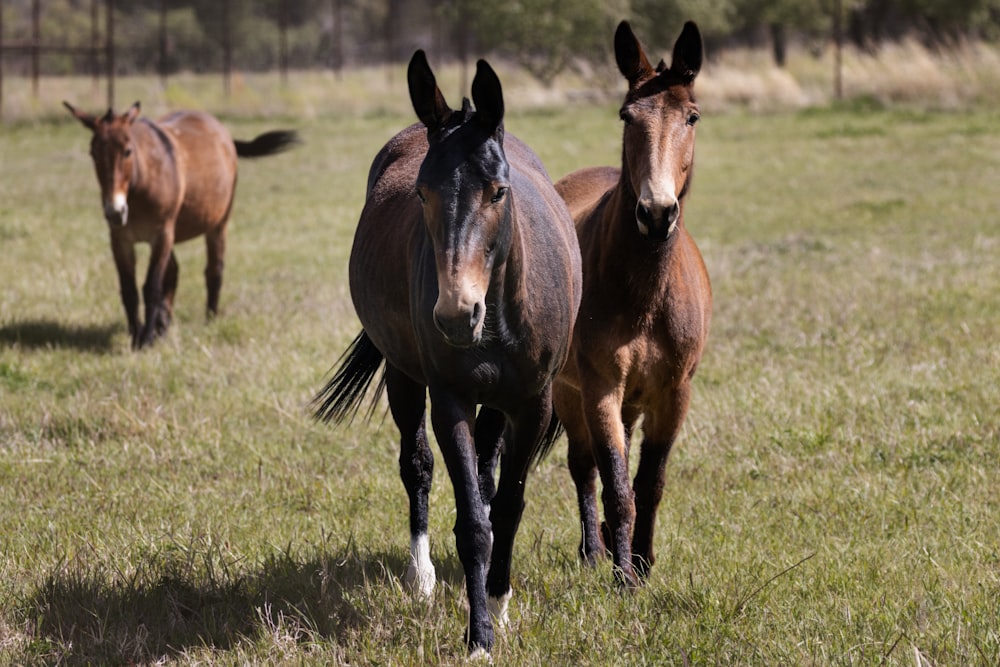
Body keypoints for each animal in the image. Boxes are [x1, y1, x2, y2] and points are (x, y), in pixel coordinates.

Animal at [62, 101, 294, 350]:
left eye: (127, 151)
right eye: (93, 153)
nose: (115, 211)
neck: (139, 185)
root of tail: (221, 130)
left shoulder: (161, 235)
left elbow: (152, 287)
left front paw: (146, 340)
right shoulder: (120, 240)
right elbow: (129, 290)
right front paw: (138, 335)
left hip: (218, 225)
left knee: (214, 270)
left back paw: (210, 320)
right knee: (173, 272)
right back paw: (163, 325)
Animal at [316, 53, 584, 656]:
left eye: (499, 191)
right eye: (421, 193)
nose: (458, 315)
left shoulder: (532, 404)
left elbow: (506, 505)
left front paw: (499, 601)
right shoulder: (451, 400)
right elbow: (472, 523)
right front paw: (479, 636)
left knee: (485, 474)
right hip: (403, 375)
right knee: (416, 465)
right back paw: (422, 577)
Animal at [556, 19, 712, 584]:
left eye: (692, 116)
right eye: (628, 115)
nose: (656, 213)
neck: (645, 295)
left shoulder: (674, 393)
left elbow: (651, 483)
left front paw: (642, 564)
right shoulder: (599, 388)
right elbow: (617, 484)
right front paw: (623, 577)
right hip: (568, 390)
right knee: (584, 467)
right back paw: (592, 550)